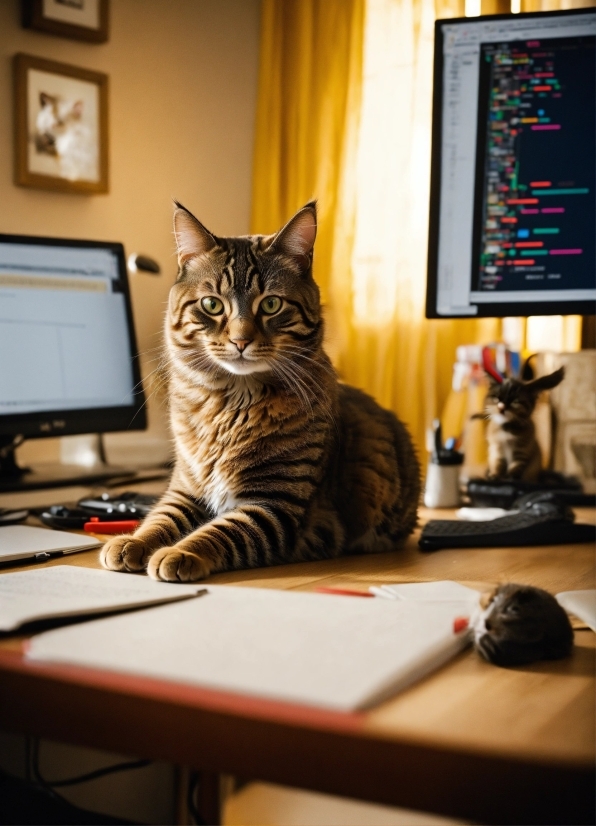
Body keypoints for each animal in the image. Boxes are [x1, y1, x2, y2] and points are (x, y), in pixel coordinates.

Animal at [101, 200, 420, 580]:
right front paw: (132, 541)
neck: (228, 406)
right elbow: (159, 518)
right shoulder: (185, 490)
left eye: (270, 304)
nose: (240, 340)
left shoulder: (274, 505)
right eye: (212, 305)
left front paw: (180, 553)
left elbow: (219, 532)